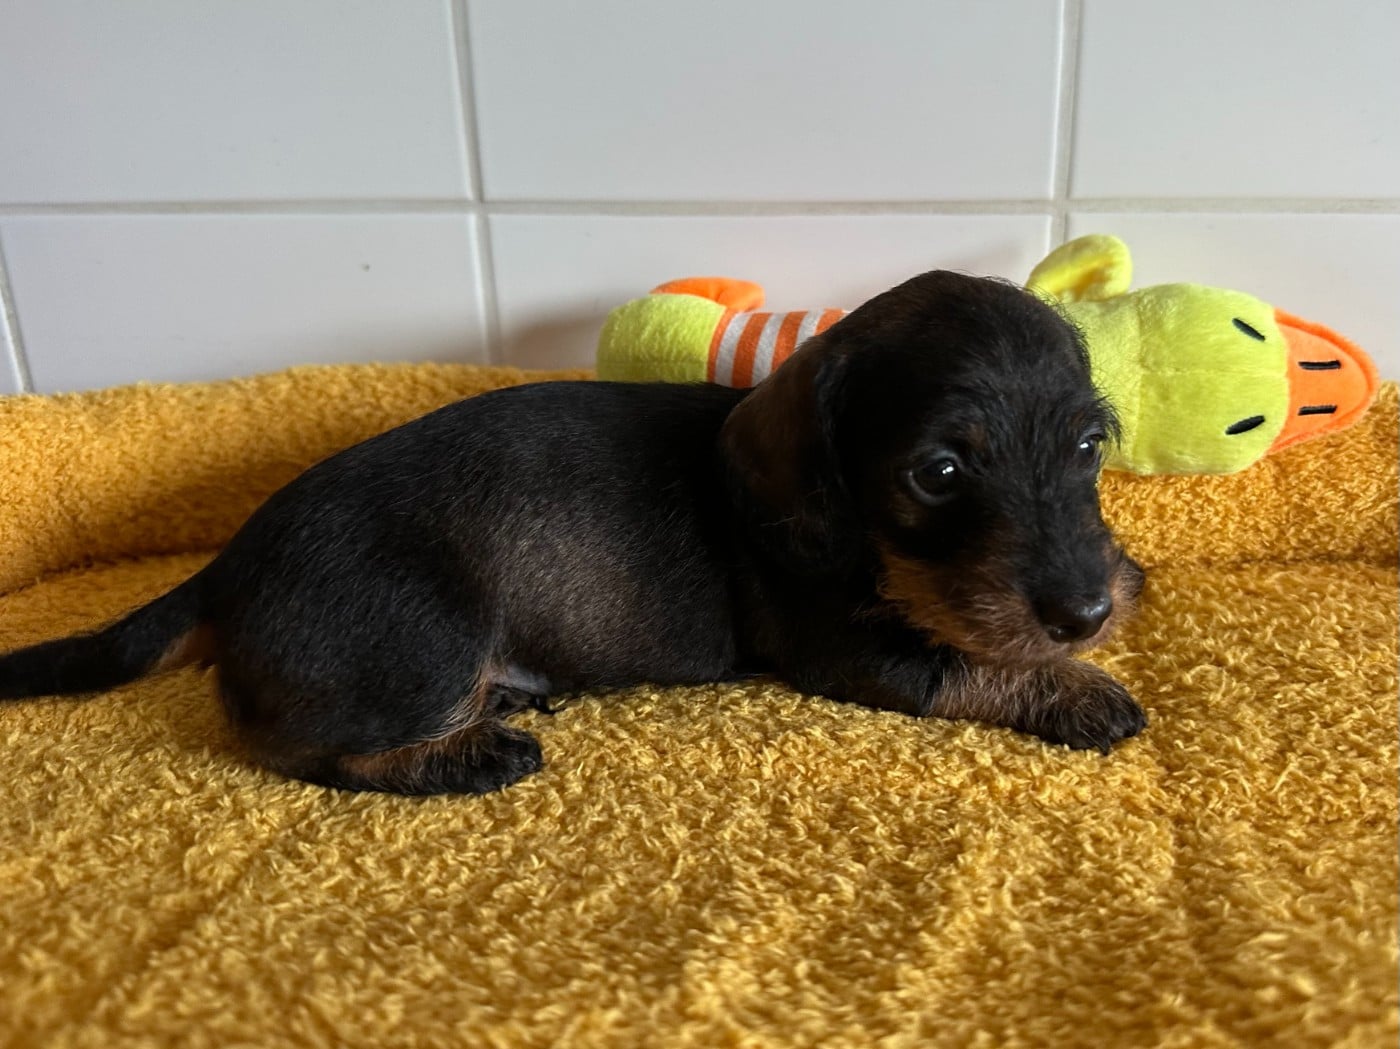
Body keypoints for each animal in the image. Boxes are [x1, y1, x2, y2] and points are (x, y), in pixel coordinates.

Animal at [0, 271, 1146, 795]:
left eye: (1091, 445)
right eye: (938, 473)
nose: (1089, 608)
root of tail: (227, 565)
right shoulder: (846, 649)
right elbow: (970, 660)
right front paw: (1078, 688)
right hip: (420, 635)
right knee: (295, 743)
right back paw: (463, 754)